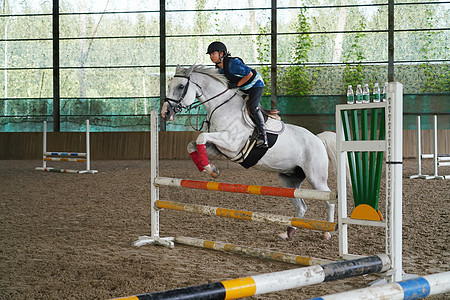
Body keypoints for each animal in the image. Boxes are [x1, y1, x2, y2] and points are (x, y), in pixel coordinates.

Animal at [162, 64, 338, 240]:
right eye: (169, 86)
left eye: (181, 86)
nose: (165, 113)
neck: (221, 107)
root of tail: (318, 139)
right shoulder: (221, 148)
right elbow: (193, 144)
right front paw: (209, 169)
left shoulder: (231, 144)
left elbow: (200, 137)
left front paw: (209, 169)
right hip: (289, 180)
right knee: (301, 206)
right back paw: (288, 232)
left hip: (316, 178)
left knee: (329, 201)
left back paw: (327, 232)